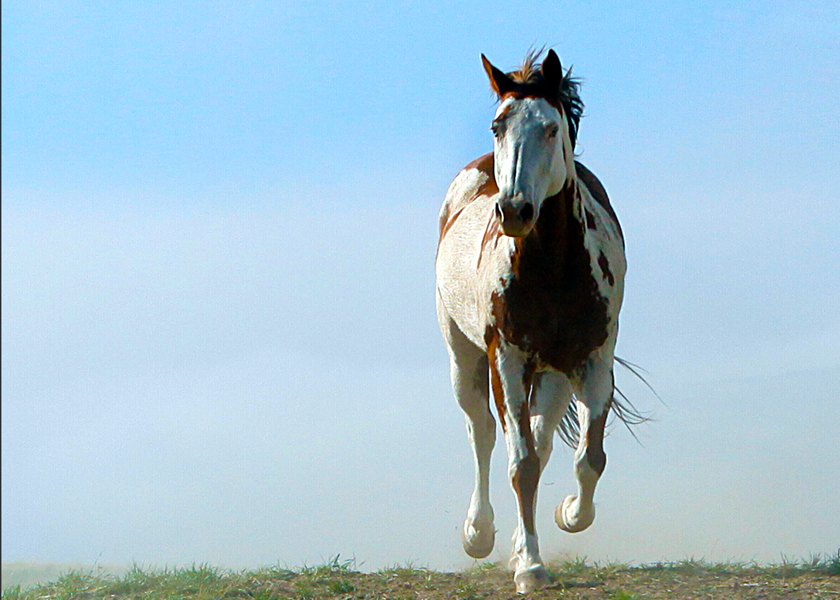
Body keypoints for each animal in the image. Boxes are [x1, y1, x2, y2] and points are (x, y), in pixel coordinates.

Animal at [436, 49, 628, 592]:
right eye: (498, 125)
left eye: (550, 127)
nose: (515, 210)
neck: (554, 269)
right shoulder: (508, 359)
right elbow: (518, 464)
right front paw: (530, 568)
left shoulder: (593, 361)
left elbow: (589, 458)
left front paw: (570, 515)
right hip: (464, 358)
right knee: (481, 433)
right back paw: (479, 534)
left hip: (553, 376)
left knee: (540, 447)